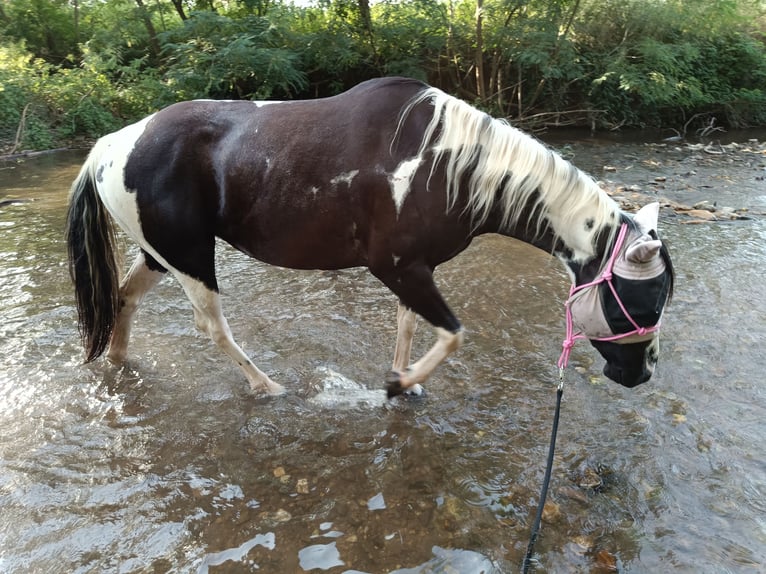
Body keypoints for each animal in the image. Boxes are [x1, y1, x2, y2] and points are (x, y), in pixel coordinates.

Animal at [65, 77, 674, 397]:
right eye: (640, 304)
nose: (641, 373)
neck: (448, 164)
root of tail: (110, 146)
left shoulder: (417, 269)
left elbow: (411, 323)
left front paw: (405, 378)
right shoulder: (396, 266)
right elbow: (453, 334)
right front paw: (398, 386)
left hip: (161, 254)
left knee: (123, 299)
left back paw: (119, 361)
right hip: (190, 258)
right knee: (212, 327)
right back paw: (268, 387)